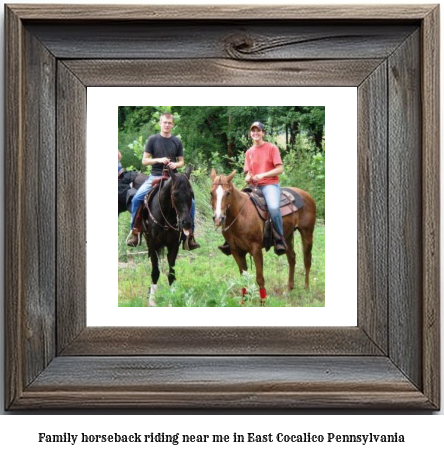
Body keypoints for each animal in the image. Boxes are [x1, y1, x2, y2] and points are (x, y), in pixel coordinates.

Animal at [211, 169, 318, 302]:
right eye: (211, 193)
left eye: (228, 193)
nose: (218, 219)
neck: (241, 215)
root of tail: (306, 194)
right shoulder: (236, 251)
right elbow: (243, 277)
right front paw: (243, 301)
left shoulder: (256, 249)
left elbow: (260, 278)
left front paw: (263, 301)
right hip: (287, 236)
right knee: (292, 258)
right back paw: (289, 289)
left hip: (307, 232)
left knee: (307, 259)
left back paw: (306, 288)